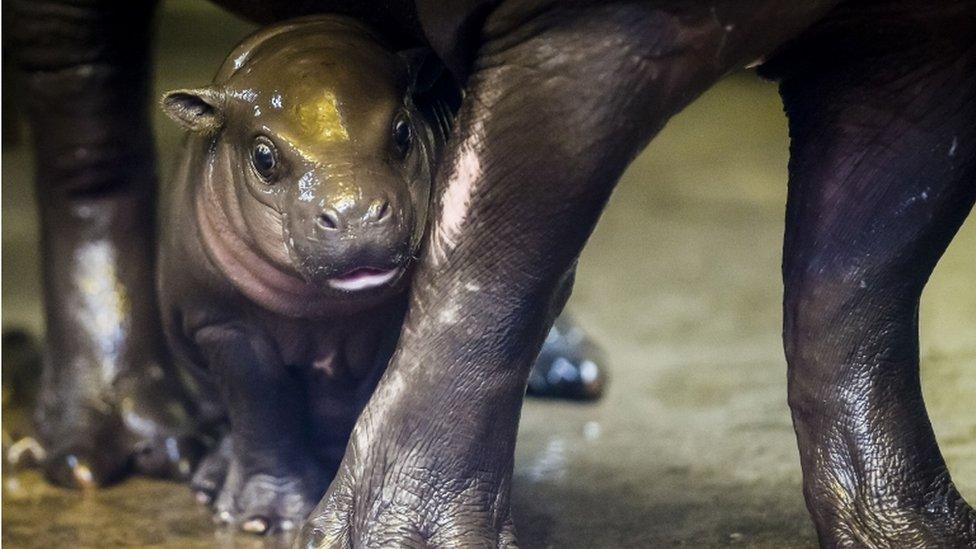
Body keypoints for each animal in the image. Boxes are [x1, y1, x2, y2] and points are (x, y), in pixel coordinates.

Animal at [158, 16, 604, 532]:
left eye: (403, 132)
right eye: (264, 157)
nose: (355, 215)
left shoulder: (389, 326)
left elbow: (372, 397)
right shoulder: (221, 321)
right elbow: (261, 405)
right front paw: (265, 520)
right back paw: (209, 480)